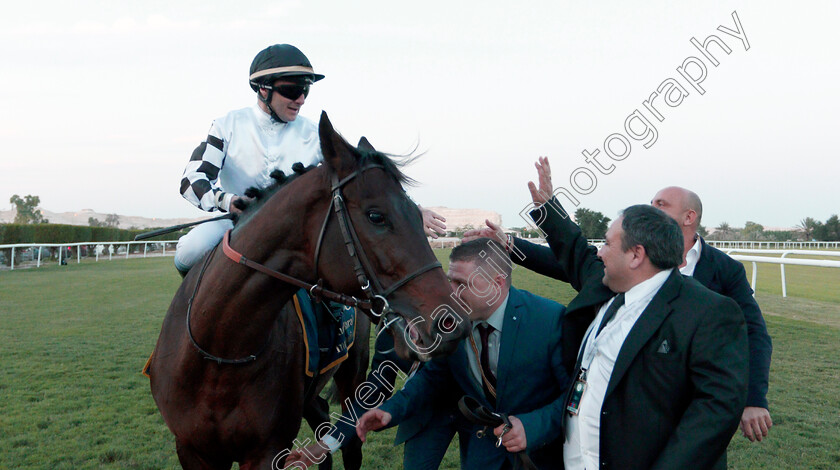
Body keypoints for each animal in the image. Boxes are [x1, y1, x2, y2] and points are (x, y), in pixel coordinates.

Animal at [148, 112, 470, 468]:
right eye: (376, 216)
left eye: (416, 214)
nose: (451, 321)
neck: (220, 352)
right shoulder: (192, 450)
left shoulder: (267, 450)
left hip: (351, 374)